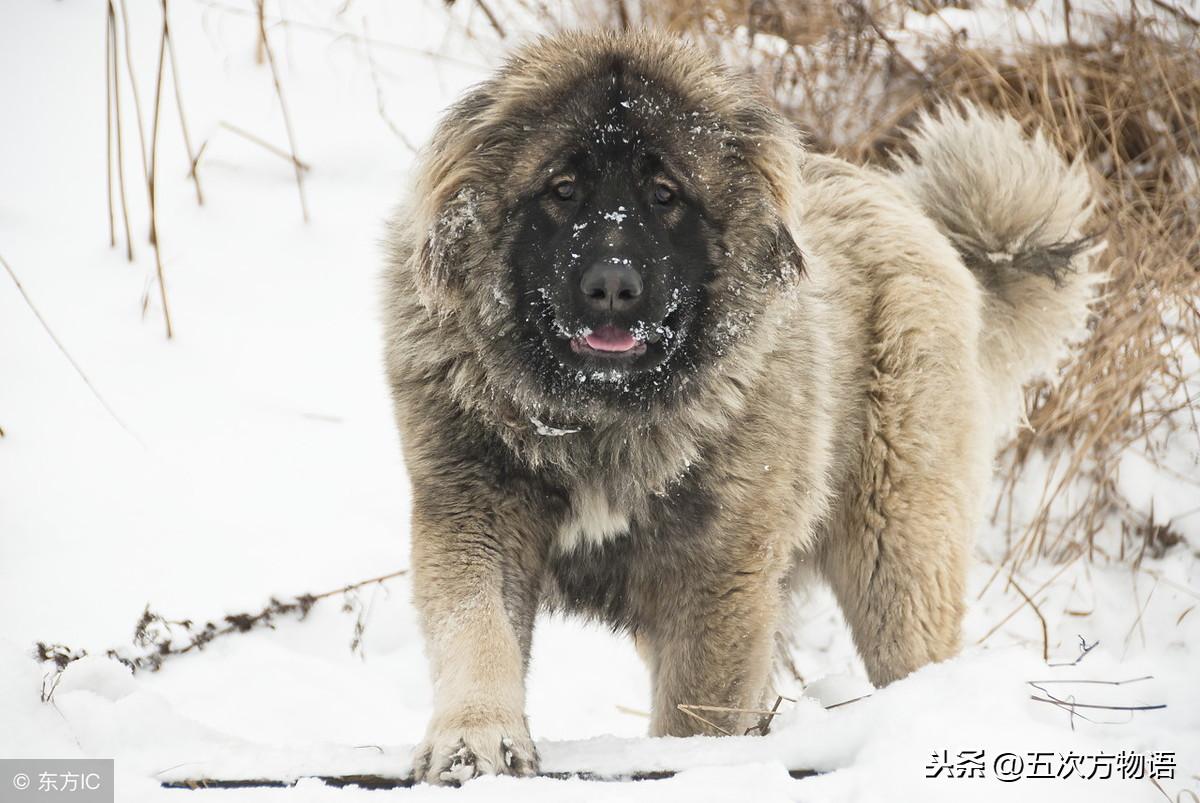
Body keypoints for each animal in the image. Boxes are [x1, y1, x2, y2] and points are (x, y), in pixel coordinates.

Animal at [381, 29, 1099, 782]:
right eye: (562, 189)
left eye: (665, 194)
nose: (612, 286)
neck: (603, 418)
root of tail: (917, 219)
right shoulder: (476, 512)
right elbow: (477, 633)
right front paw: (475, 743)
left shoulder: (719, 573)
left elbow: (699, 704)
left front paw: (689, 765)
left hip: (895, 553)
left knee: (913, 649)